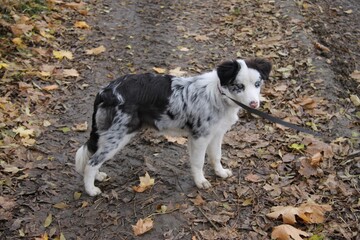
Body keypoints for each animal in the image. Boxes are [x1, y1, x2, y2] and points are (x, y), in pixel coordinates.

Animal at [77, 58, 272, 195]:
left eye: (257, 84)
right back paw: (91, 189)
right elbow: (198, 162)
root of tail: (106, 91)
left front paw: (220, 172)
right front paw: (200, 182)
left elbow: (216, 156)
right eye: (239, 86)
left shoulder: (216, 134)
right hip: (118, 136)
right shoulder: (200, 137)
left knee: (94, 156)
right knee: (93, 162)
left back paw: (98, 176)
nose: (254, 104)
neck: (219, 95)